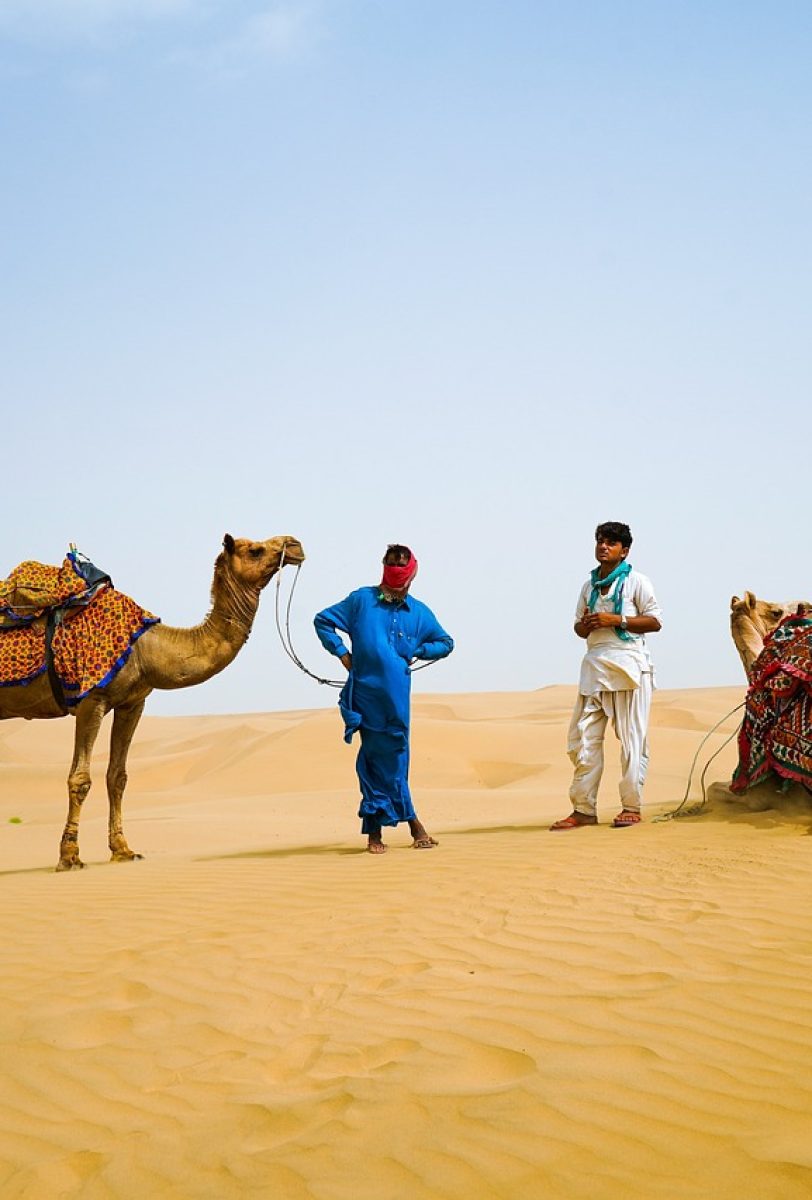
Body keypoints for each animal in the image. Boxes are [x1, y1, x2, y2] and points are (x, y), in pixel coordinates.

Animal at [0, 537, 302, 873]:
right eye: (254, 549)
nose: (294, 545)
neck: (147, 650)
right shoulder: (92, 699)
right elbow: (80, 778)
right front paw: (70, 857)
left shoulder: (132, 703)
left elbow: (117, 777)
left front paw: (123, 850)